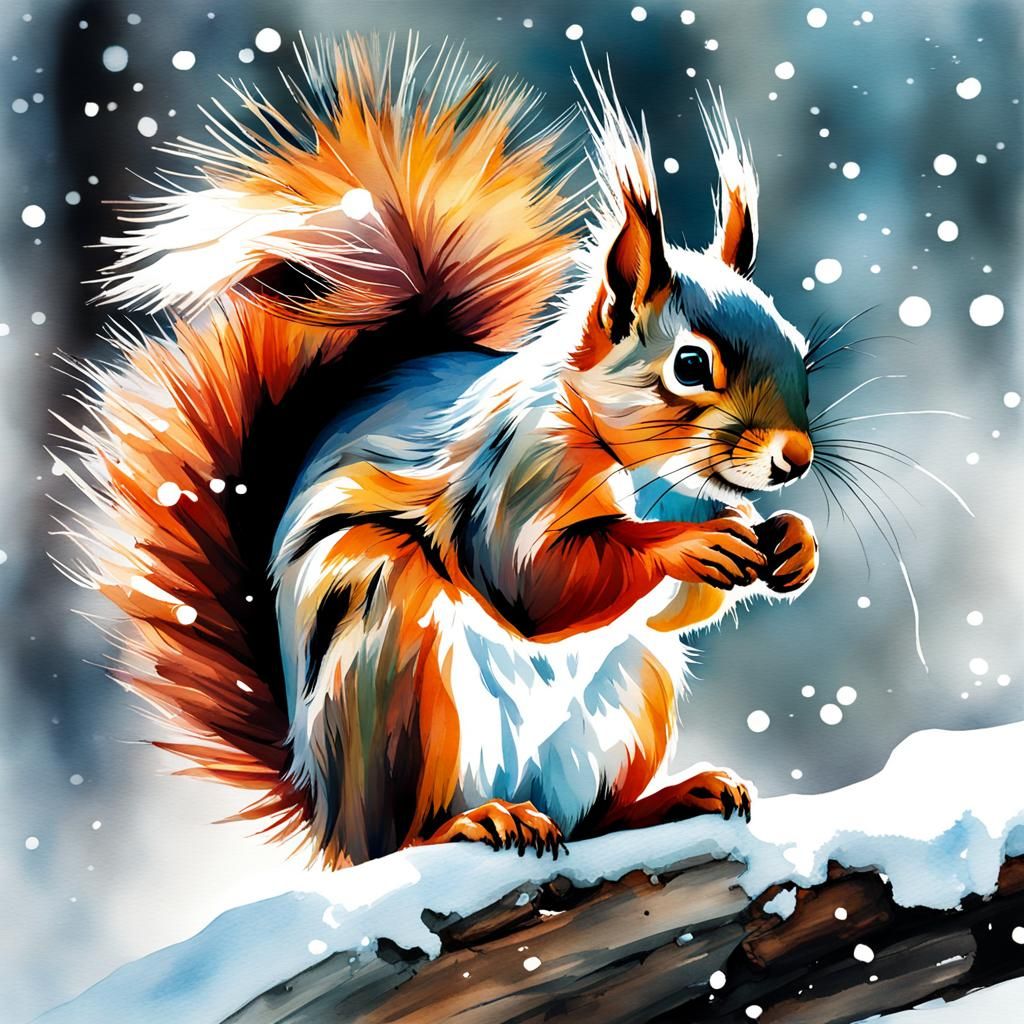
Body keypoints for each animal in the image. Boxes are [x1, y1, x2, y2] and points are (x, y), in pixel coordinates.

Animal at [58, 36, 818, 868]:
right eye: (689, 365)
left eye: (800, 347)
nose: (795, 457)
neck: (648, 474)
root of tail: (328, 812)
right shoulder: (518, 469)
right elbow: (532, 578)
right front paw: (694, 543)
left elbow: (677, 607)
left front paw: (791, 543)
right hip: (400, 668)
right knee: (405, 835)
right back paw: (477, 821)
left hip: (631, 697)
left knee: (595, 819)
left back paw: (671, 798)